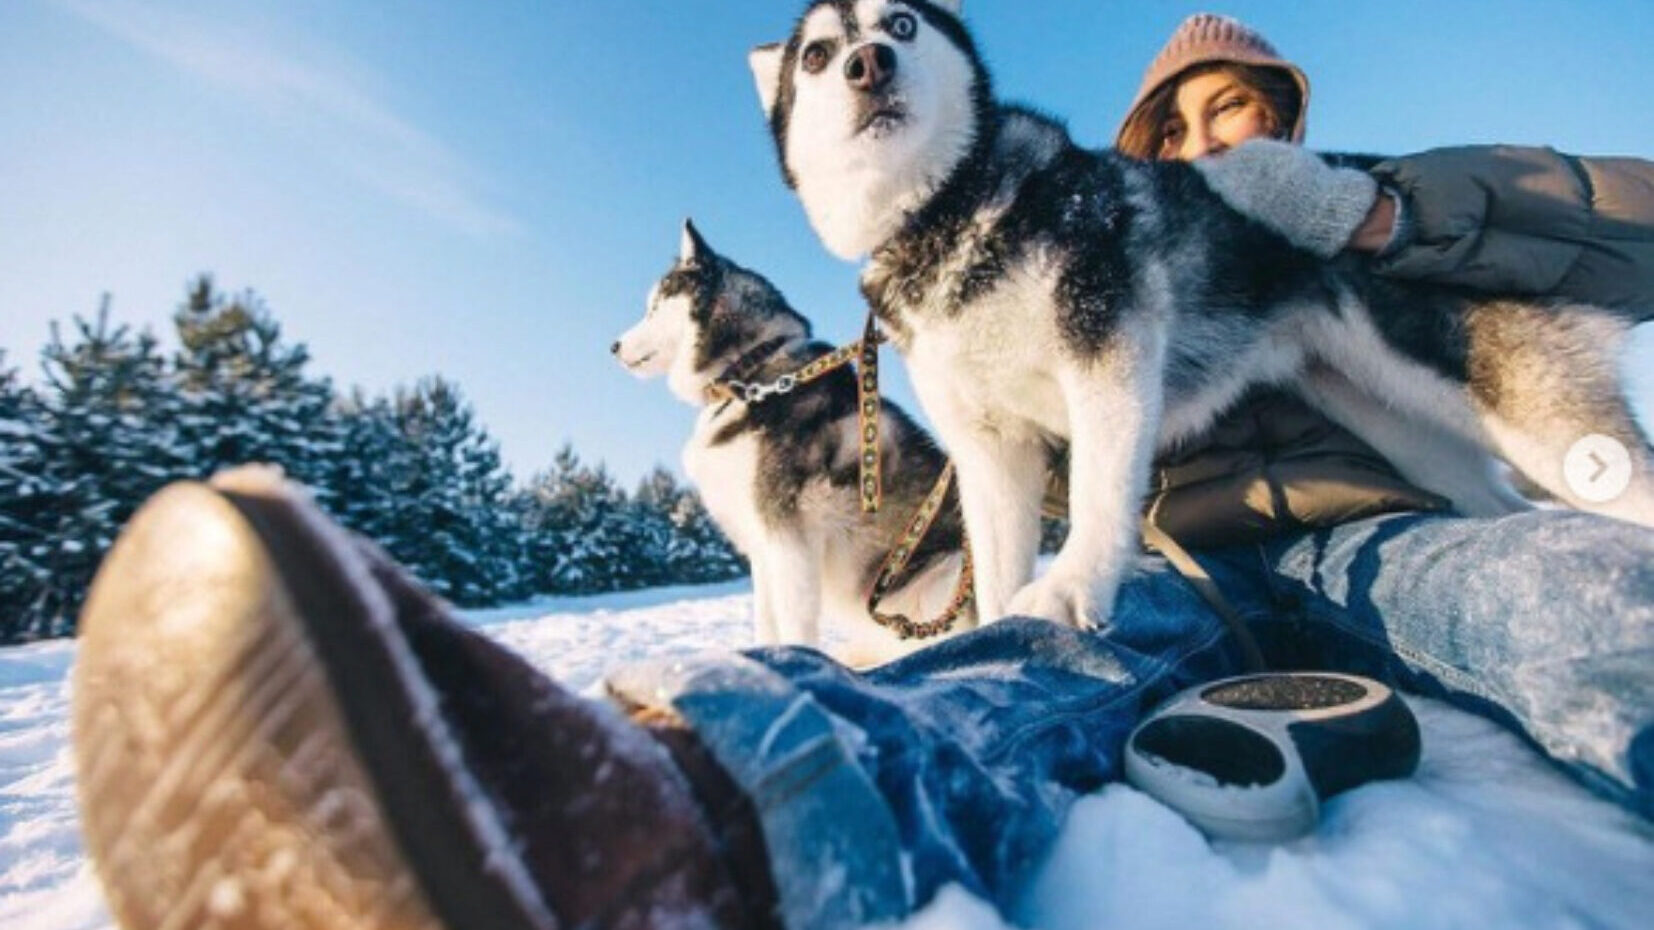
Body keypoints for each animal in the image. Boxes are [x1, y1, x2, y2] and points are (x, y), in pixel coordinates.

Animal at [613, 219, 976, 661]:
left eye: (653, 308)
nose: (613, 346)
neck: (748, 372)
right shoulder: (762, 545)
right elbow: (766, 619)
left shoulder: (788, 537)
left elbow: (794, 621)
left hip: (945, 572)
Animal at [748, 0, 1654, 629]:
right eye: (818, 55)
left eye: (900, 24)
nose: (868, 63)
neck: (946, 213)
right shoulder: (990, 443)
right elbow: (998, 565)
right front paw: (1001, 623)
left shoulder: (1109, 357)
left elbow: (1100, 495)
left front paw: (1074, 587)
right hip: (1407, 429)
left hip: (1527, 413)